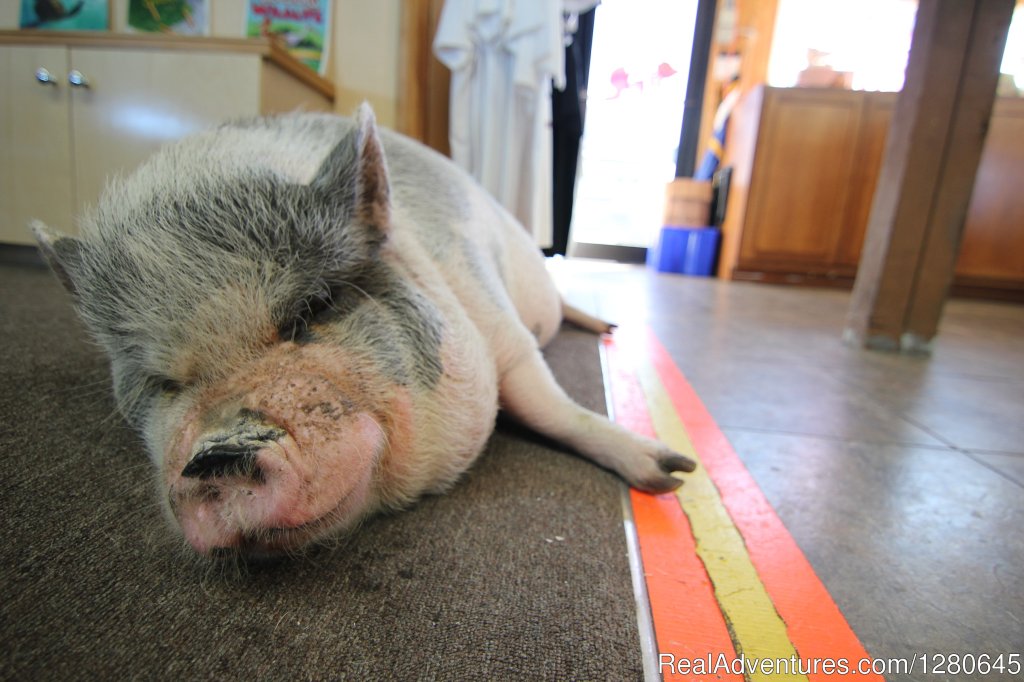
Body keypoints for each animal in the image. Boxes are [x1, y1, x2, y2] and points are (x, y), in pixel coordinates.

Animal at [32, 103, 696, 557]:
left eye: (313, 309)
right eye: (161, 382)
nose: (216, 458)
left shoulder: (498, 327)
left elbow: (547, 404)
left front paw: (672, 475)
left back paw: (607, 326)